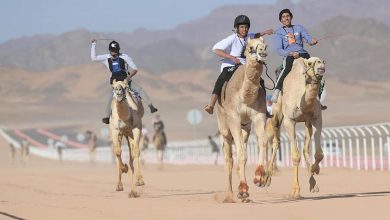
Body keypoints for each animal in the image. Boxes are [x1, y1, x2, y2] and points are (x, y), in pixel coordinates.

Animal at [216, 36, 268, 203]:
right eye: (250, 48)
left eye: (265, 46)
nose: (262, 53)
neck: (245, 95)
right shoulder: (234, 118)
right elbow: (240, 155)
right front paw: (243, 189)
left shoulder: (259, 115)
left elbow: (262, 142)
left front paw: (259, 177)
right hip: (224, 127)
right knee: (229, 159)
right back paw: (229, 196)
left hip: (246, 127)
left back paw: (242, 194)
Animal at [266, 55, 324, 199]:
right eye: (310, 63)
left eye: (322, 61)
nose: (321, 65)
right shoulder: (289, 121)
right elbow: (295, 156)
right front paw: (295, 191)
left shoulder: (316, 118)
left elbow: (319, 154)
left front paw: (315, 169)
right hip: (276, 113)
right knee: (276, 141)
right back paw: (265, 178)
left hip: (307, 123)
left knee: (305, 149)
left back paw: (313, 183)